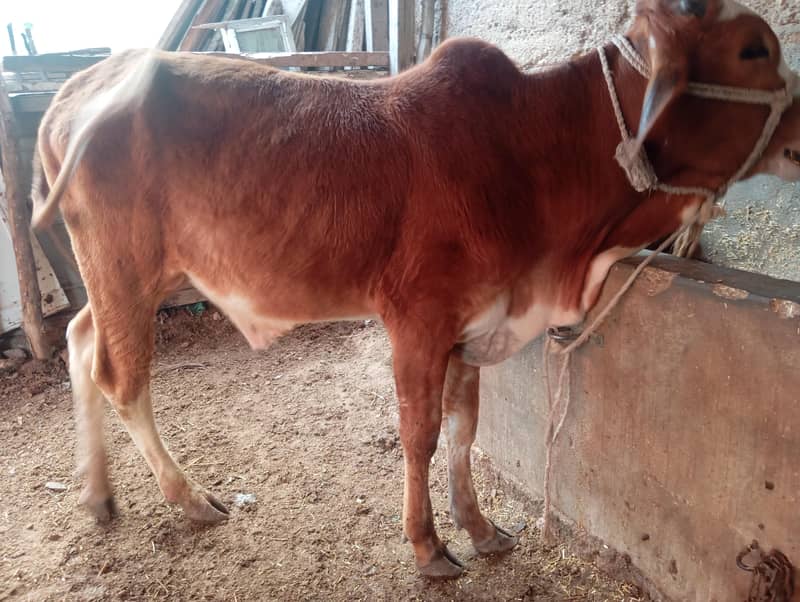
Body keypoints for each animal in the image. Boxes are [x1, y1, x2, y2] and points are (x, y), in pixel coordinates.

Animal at [31, 0, 800, 578]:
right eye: (754, 50)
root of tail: (78, 88)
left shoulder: (476, 325)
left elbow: (465, 427)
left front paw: (480, 530)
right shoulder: (418, 319)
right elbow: (422, 433)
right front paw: (429, 548)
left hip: (128, 277)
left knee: (79, 338)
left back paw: (98, 495)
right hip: (126, 267)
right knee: (121, 377)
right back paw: (188, 500)